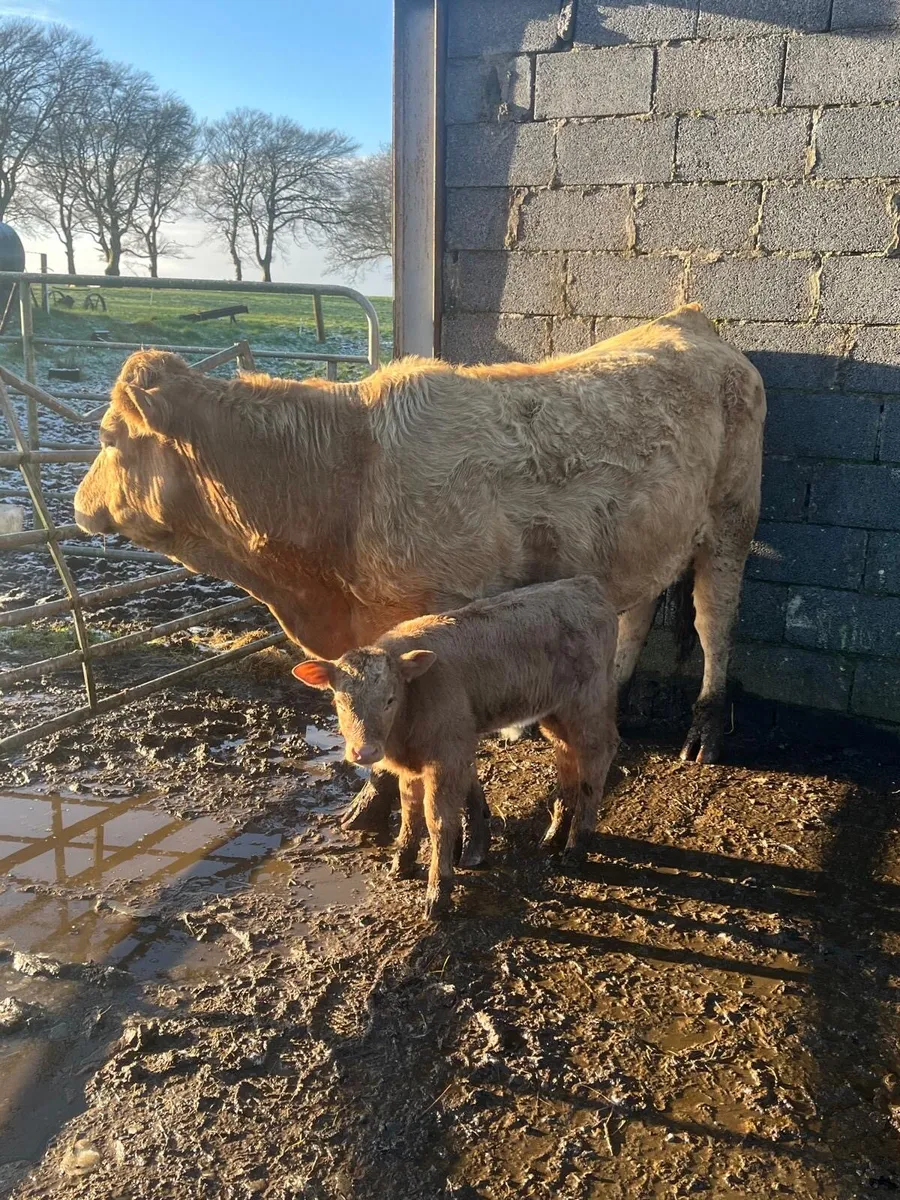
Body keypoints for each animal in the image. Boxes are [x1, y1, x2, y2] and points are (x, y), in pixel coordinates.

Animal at [73, 303, 765, 852]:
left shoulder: (435, 616)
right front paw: (373, 805)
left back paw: (705, 731)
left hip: (732, 522)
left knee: (715, 623)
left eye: (107, 437)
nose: (79, 507)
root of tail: (690, 319)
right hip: (642, 543)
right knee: (635, 617)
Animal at [292, 577, 620, 918]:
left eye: (389, 700)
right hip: (555, 710)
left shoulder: (448, 755)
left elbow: (439, 820)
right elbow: (410, 811)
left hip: (588, 702)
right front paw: (402, 864)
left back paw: (576, 847)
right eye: (340, 701)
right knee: (566, 752)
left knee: (597, 753)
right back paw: (554, 834)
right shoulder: (413, 763)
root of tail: (583, 585)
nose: (364, 752)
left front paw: (438, 890)